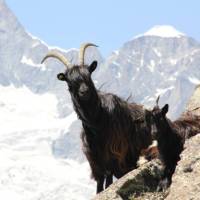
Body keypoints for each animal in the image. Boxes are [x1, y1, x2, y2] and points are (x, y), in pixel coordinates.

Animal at [41, 43, 152, 193]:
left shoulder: (114, 152)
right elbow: (100, 181)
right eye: (70, 82)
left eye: (88, 75)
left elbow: (108, 179)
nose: (84, 91)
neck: (99, 120)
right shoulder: (94, 158)